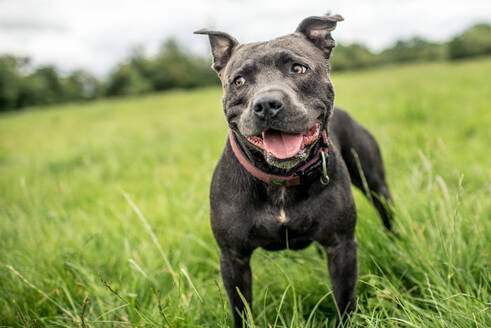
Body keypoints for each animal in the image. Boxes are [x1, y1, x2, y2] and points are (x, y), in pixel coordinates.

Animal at [196, 14, 396, 326]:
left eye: (298, 68)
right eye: (239, 81)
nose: (266, 104)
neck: (280, 178)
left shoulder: (341, 245)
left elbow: (345, 301)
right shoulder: (233, 257)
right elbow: (241, 308)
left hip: (375, 185)